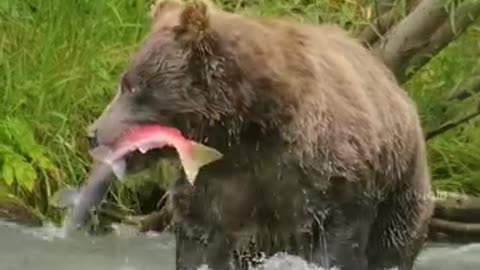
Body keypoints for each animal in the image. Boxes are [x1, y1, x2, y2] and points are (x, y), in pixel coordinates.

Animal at [87, 0, 436, 270]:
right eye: (124, 81)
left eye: (132, 86)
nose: (93, 133)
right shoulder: (217, 182)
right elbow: (201, 237)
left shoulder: (330, 172)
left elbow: (338, 235)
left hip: (403, 183)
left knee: (394, 240)